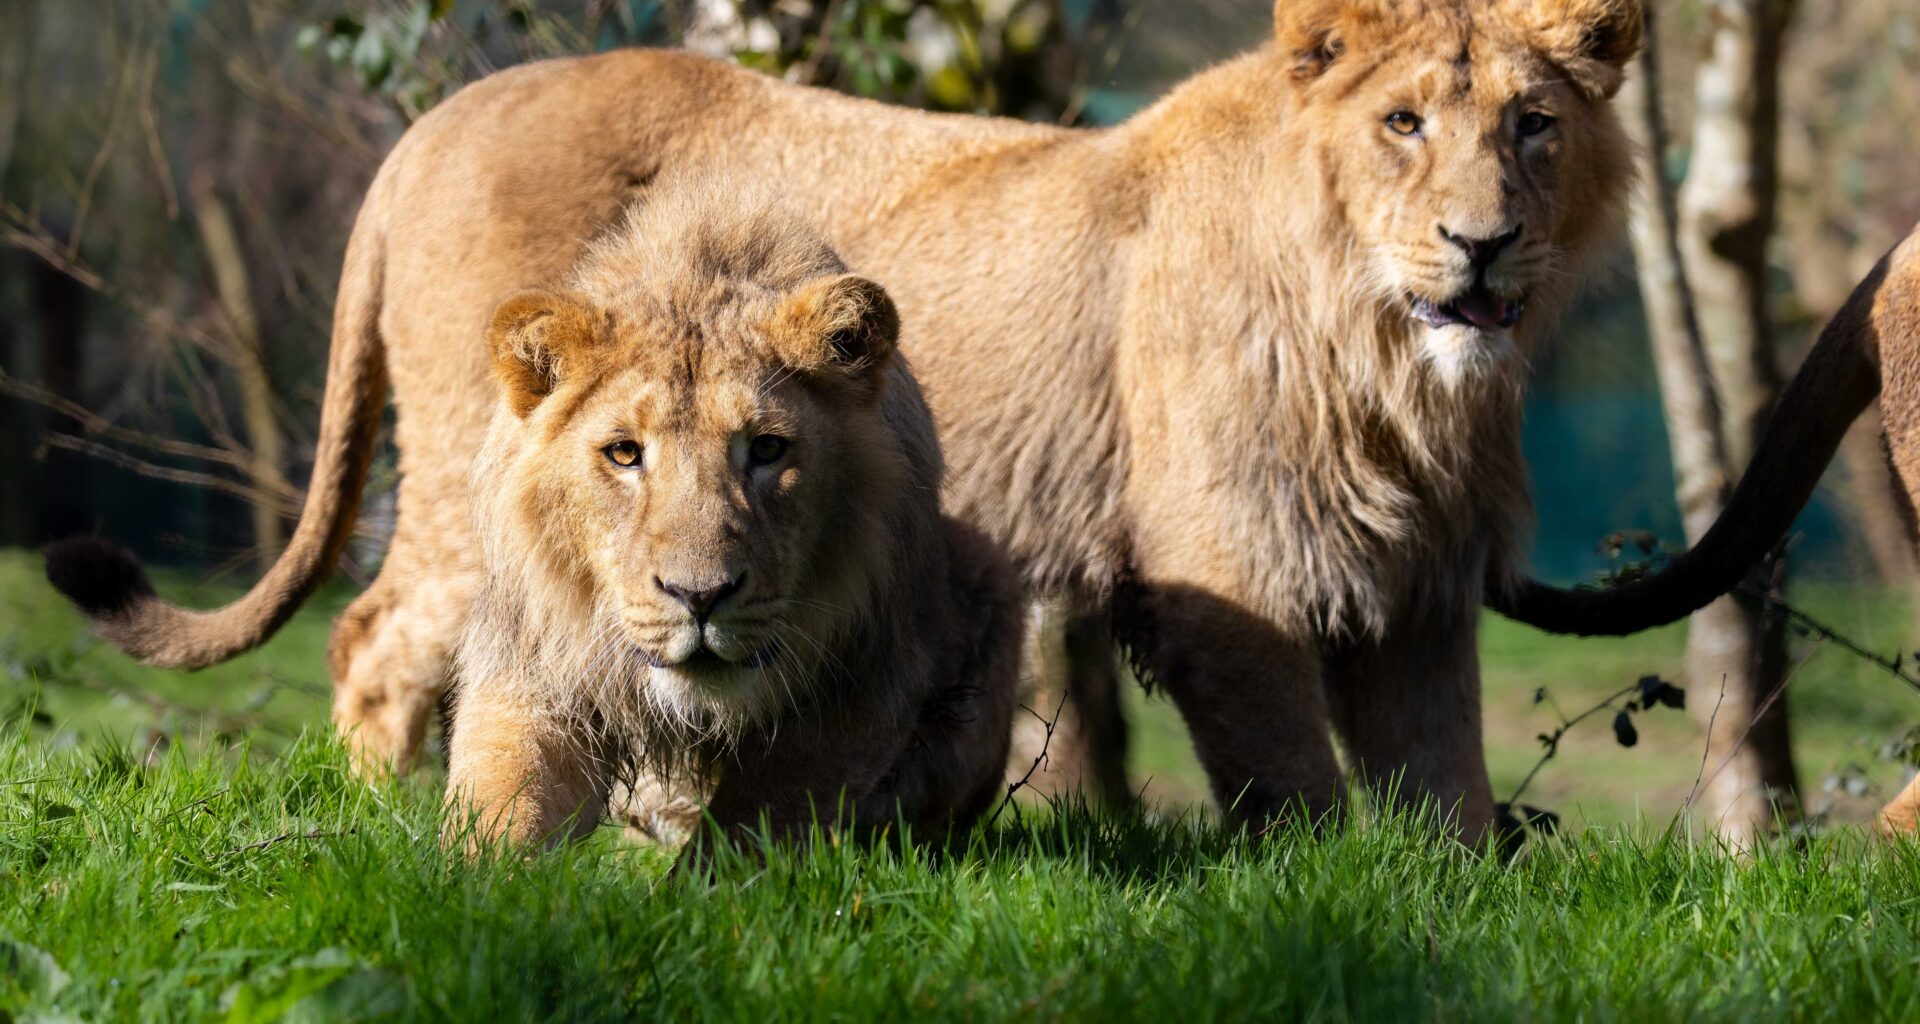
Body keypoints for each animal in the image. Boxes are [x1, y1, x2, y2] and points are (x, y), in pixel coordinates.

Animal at [442, 186, 1021, 847]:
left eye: (767, 449)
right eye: (624, 453)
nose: (700, 597)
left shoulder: (859, 689)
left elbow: (750, 829)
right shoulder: (530, 668)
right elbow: (500, 808)